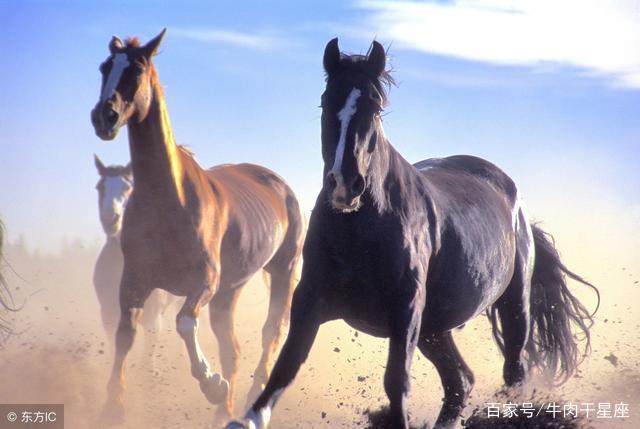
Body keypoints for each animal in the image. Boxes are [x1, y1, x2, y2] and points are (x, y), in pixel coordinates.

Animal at [90, 29, 308, 422]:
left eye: (137, 69)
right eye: (104, 67)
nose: (105, 117)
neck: (168, 199)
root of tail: (280, 185)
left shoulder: (203, 282)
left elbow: (184, 324)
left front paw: (211, 384)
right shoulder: (134, 282)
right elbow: (125, 335)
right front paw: (113, 406)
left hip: (282, 272)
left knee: (272, 332)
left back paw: (251, 403)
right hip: (229, 291)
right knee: (232, 350)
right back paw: (224, 413)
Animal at [225, 38, 596, 426]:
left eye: (375, 105)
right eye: (327, 101)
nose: (344, 184)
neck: (359, 232)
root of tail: (517, 208)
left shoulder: (405, 310)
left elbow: (396, 381)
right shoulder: (310, 300)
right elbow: (284, 369)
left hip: (511, 305)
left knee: (513, 373)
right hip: (435, 329)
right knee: (460, 381)